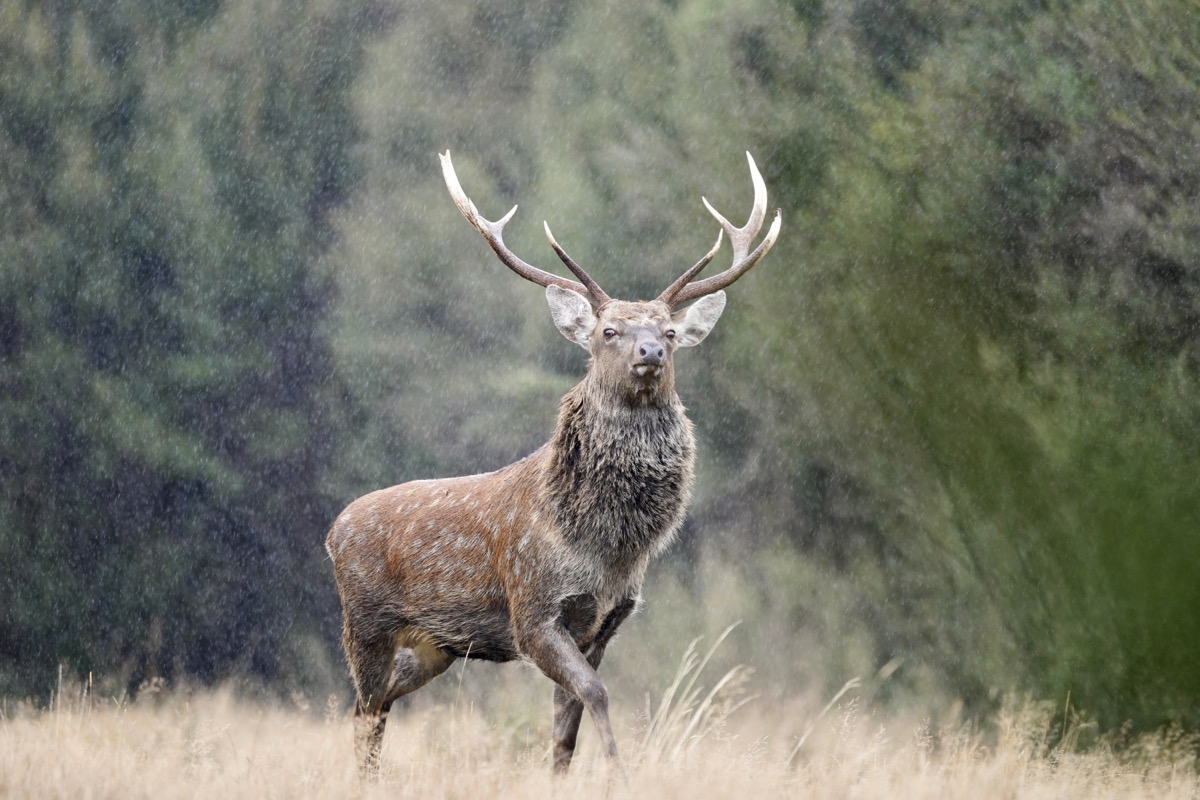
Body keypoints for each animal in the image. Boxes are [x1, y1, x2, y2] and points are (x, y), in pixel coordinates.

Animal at [326, 150, 780, 778]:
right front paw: (620, 775)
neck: (607, 549)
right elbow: (596, 694)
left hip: (436, 645)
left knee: (377, 705)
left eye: (669, 332)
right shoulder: (534, 611)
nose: (650, 352)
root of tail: (332, 531)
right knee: (365, 712)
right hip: (364, 623)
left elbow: (566, 730)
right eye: (609, 330)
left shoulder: (605, 622)